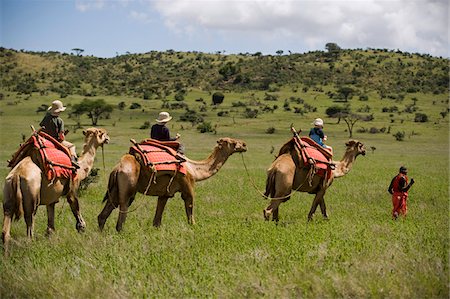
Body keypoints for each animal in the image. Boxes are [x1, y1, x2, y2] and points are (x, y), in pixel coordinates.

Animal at [96, 137, 248, 231]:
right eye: (231, 142)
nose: (244, 145)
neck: (194, 169)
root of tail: (117, 169)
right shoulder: (188, 186)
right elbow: (190, 212)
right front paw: (194, 228)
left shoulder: (165, 194)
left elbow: (157, 220)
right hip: (128, 184)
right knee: (123, 210)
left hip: (115, 189)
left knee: (104, 213)